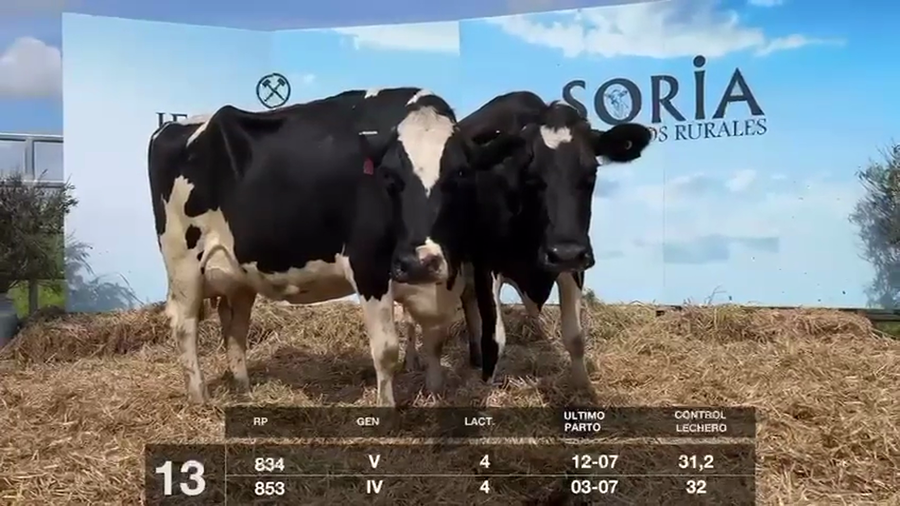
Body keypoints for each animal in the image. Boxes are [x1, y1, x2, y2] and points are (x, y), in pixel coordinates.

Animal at [147, 88, 521, 407]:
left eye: (460, 174)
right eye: (390, 177)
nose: (418, 263)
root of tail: (176, 125)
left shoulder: (445, 279)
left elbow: (435, 341)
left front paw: (435, 393)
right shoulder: (368, 266)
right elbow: (386, 350)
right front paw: (387, 409)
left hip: (237, 272)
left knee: (235, 325)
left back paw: (244, 390)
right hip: (183, 263)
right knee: (184, 324)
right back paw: (200, 398)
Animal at [402, 91, 652, 390]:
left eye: (591, 172)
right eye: (531, 174)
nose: (565, 252)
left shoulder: (574, 265)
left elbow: (575, 336)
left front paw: (583, 389)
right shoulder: (486, 264)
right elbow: (495, 341)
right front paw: (487, 388)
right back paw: (412, 360)